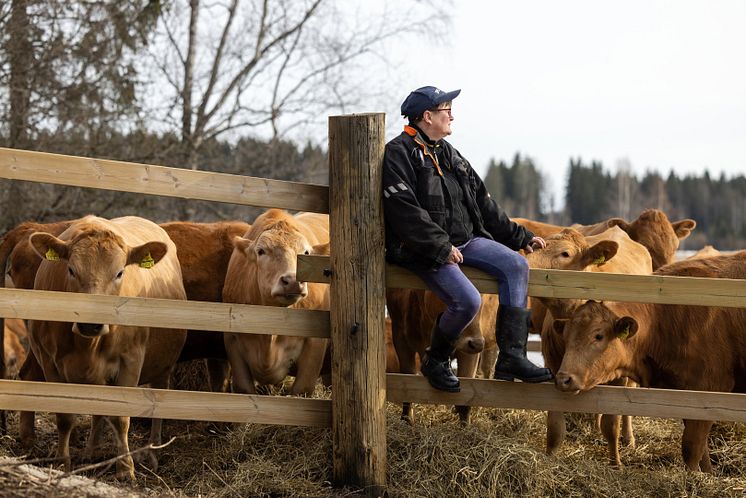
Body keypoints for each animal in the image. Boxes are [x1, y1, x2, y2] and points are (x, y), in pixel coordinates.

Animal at [27, 216, 187, 480]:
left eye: (120, 273)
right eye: (71, 270)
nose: (90, 323)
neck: (85, 346)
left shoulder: (131, 359)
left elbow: (121, 417)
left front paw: (126, 469)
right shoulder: (47, 359)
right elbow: (64, 416)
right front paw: (62, 462)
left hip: (164, 366)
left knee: (157, 402)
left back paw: (152, 452)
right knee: (99, 410)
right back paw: (91, 451)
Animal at [219, 210, 326, 396]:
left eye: (306, 252)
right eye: (261, 251)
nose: (292, 281)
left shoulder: (315, 344)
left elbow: (301, 389)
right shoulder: (232, 341)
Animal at [384, 288, 494, 424]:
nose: (477, 344)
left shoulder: (468, 354)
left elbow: (467, 395)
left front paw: (465, 426)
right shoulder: (400, 338)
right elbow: (406, 384)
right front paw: (407, 420)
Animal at [524, 227, 652, 466]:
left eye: (565, 253)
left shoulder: (618, 376)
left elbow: (612, 423)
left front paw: (615, 462)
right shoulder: (555, 367)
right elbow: (555, 426)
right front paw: (550, 457)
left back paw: (629, 438)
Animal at [552, 251, 746, 472]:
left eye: (598, 336)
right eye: (566, 336)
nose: (563, 379)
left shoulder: (708, 391)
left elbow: (692, 448)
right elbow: (701, 449)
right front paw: (706, 473)